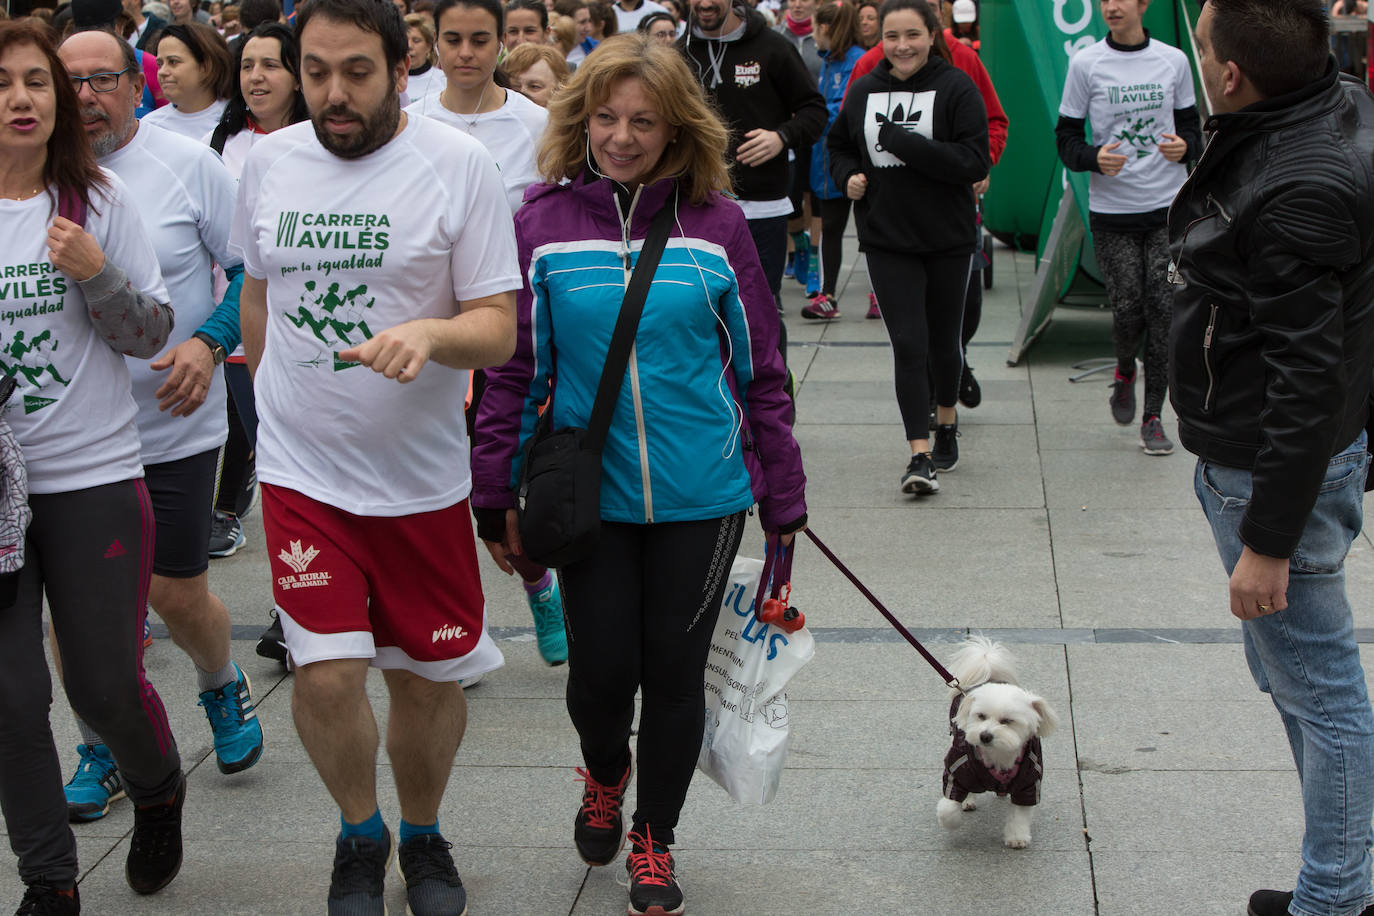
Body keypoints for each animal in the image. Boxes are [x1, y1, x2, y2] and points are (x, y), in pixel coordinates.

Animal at [934, 634, 1060, 851]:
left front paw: (1017, 837)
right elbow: (949, 805)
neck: (998, 755)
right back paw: (968, 800)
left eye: (1007, 721)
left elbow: (1019, 814)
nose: (985, 736)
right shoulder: (957, 768)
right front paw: (951, 821)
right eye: (981, 716)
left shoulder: (1029, 783)